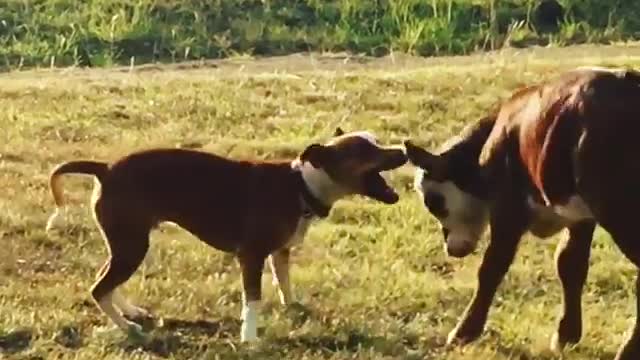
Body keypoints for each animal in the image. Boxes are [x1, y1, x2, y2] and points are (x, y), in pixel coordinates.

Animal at [45, 128, 408, 342]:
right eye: (365, 150)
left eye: (376, 141)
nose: (404, 149)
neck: (302, 185)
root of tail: (104, 168)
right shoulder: (251, 256)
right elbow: (253, 300)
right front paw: (250, 338)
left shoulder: (280, 252)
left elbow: (285, 284)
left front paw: (293, 308)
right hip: (132, 244)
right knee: (99, 287)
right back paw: (128, 327)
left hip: (128, 243)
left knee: (106, 281)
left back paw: (130, 312)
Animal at [408, 66, 640, 358]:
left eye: (432, 201)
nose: (449, 248)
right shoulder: (580, 216)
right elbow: (569, 264)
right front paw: (566, 335)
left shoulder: (508, 206)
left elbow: (492, 267)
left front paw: (463, 333)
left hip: (622, 215)